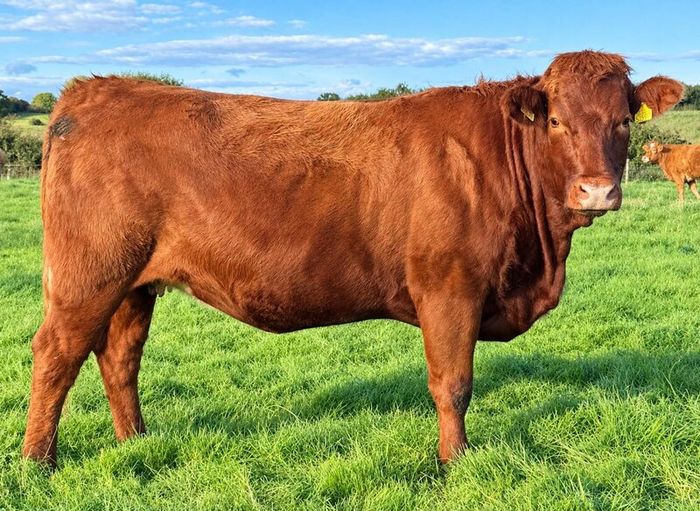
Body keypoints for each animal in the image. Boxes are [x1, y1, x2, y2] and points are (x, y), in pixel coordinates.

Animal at [23, 51, 683, 466]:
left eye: (623, 121)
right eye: (557, 121)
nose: (596, 191)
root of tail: (98, 88)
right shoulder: (449, 289)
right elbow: (453, 384)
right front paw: (455, 463)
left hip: (135, 283)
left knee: (119, 358)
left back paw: (135, 443)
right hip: (89, 277)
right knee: (56, 354)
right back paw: (38, 463)